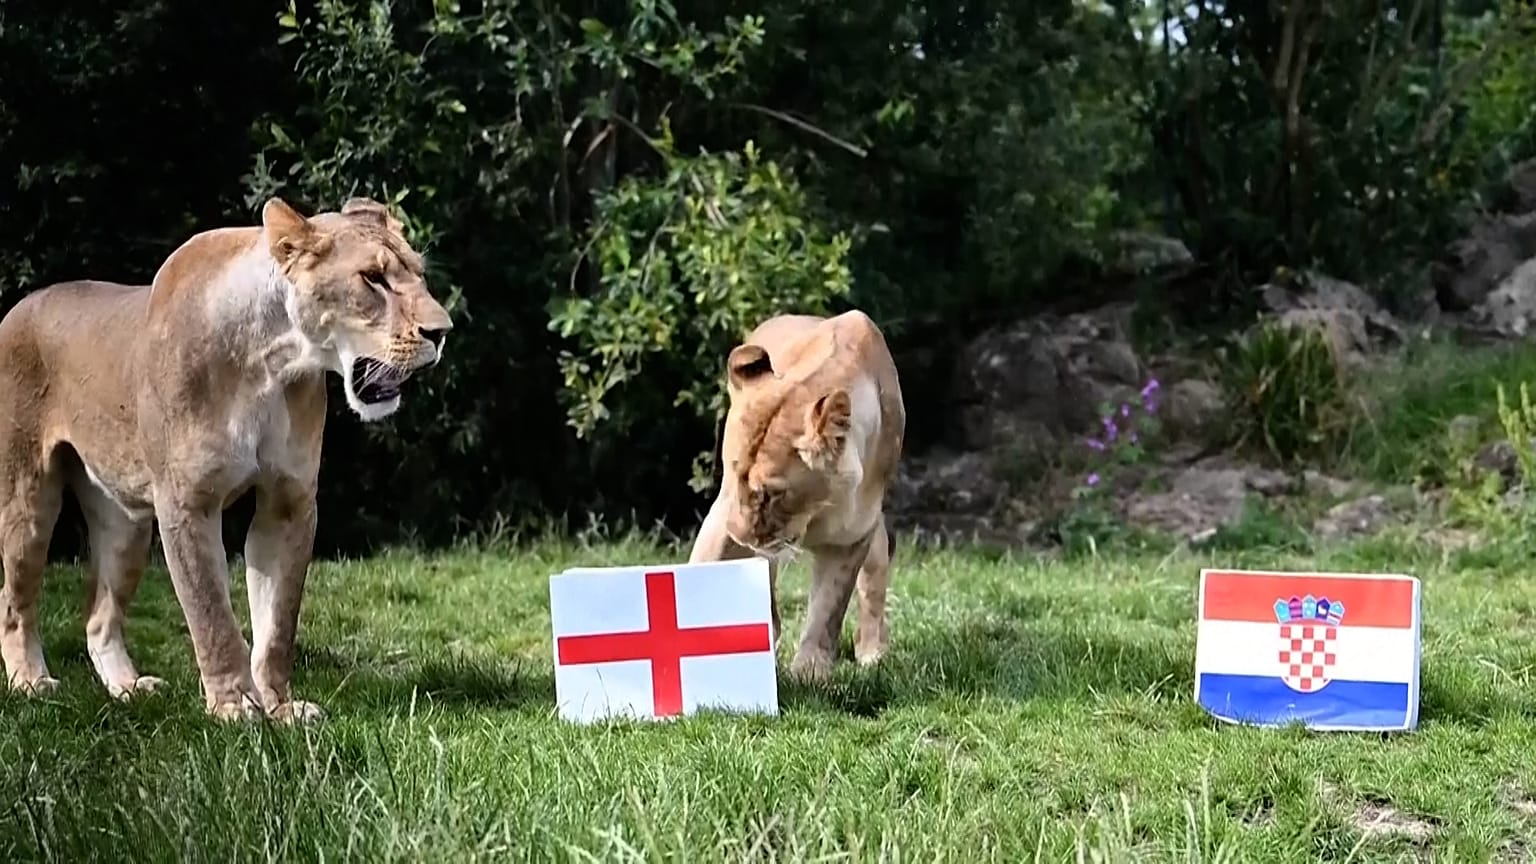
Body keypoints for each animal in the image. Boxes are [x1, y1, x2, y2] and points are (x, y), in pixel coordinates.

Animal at [0, 196, 451, 722]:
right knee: (14, 601)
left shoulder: (289, 502)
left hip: (125, 525)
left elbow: (277, 624)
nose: (443, 332)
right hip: (28, 500)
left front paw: (280, 708)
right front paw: (235, 707)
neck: (271, 363)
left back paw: (129, 688)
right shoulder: (188, 503)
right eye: (372, 278)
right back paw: (31, 682)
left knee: (98, 617)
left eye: (418, 274)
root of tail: (19, 307)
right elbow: (212, 615)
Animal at [687, 310, 905, 680]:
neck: (813, 512)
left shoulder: (851, 536)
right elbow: (702, 566)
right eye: (733, 474)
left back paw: (871, 651)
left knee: (873, 581)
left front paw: (810, 674)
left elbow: (827, 610)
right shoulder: (723, 511)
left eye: (772, 494)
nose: (738, 534)